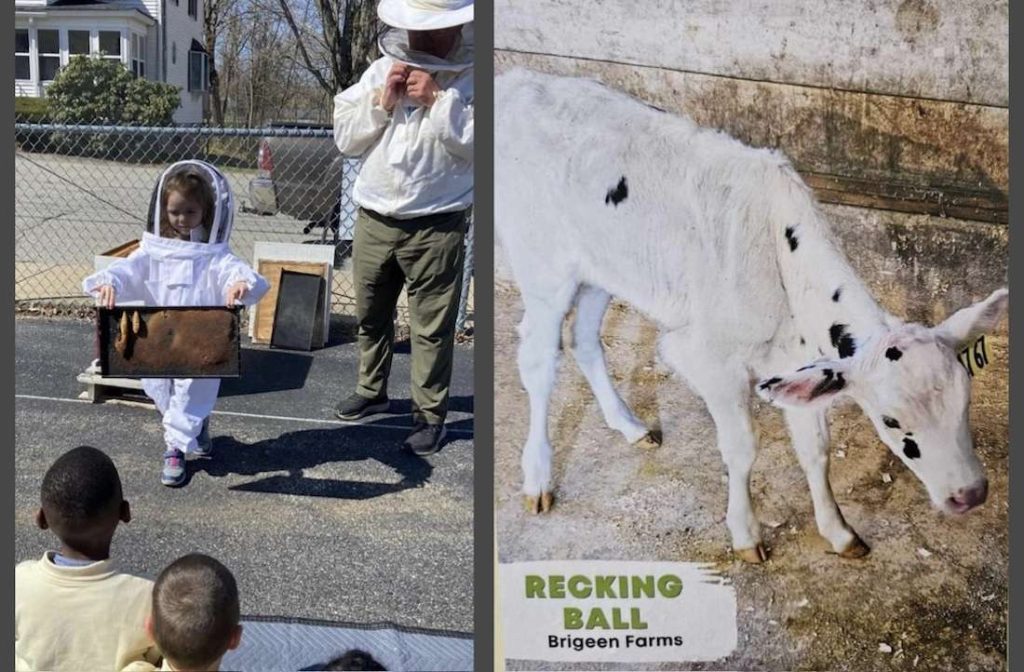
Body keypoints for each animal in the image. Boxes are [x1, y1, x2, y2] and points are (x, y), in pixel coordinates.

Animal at [495, 68, 1007, 561]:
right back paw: (537, 478)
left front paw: (838, 532)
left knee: (583, 338)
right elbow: (742, 448)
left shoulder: (798, 362)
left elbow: (816, 449)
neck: (778, 255)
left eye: (964, 402)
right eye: (891, 421)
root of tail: (516, 81)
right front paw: (745, 534)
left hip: (602, 267)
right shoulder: (704, 357)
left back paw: (630, 426)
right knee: (538, 359)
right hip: (542, 266)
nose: (970, 494)